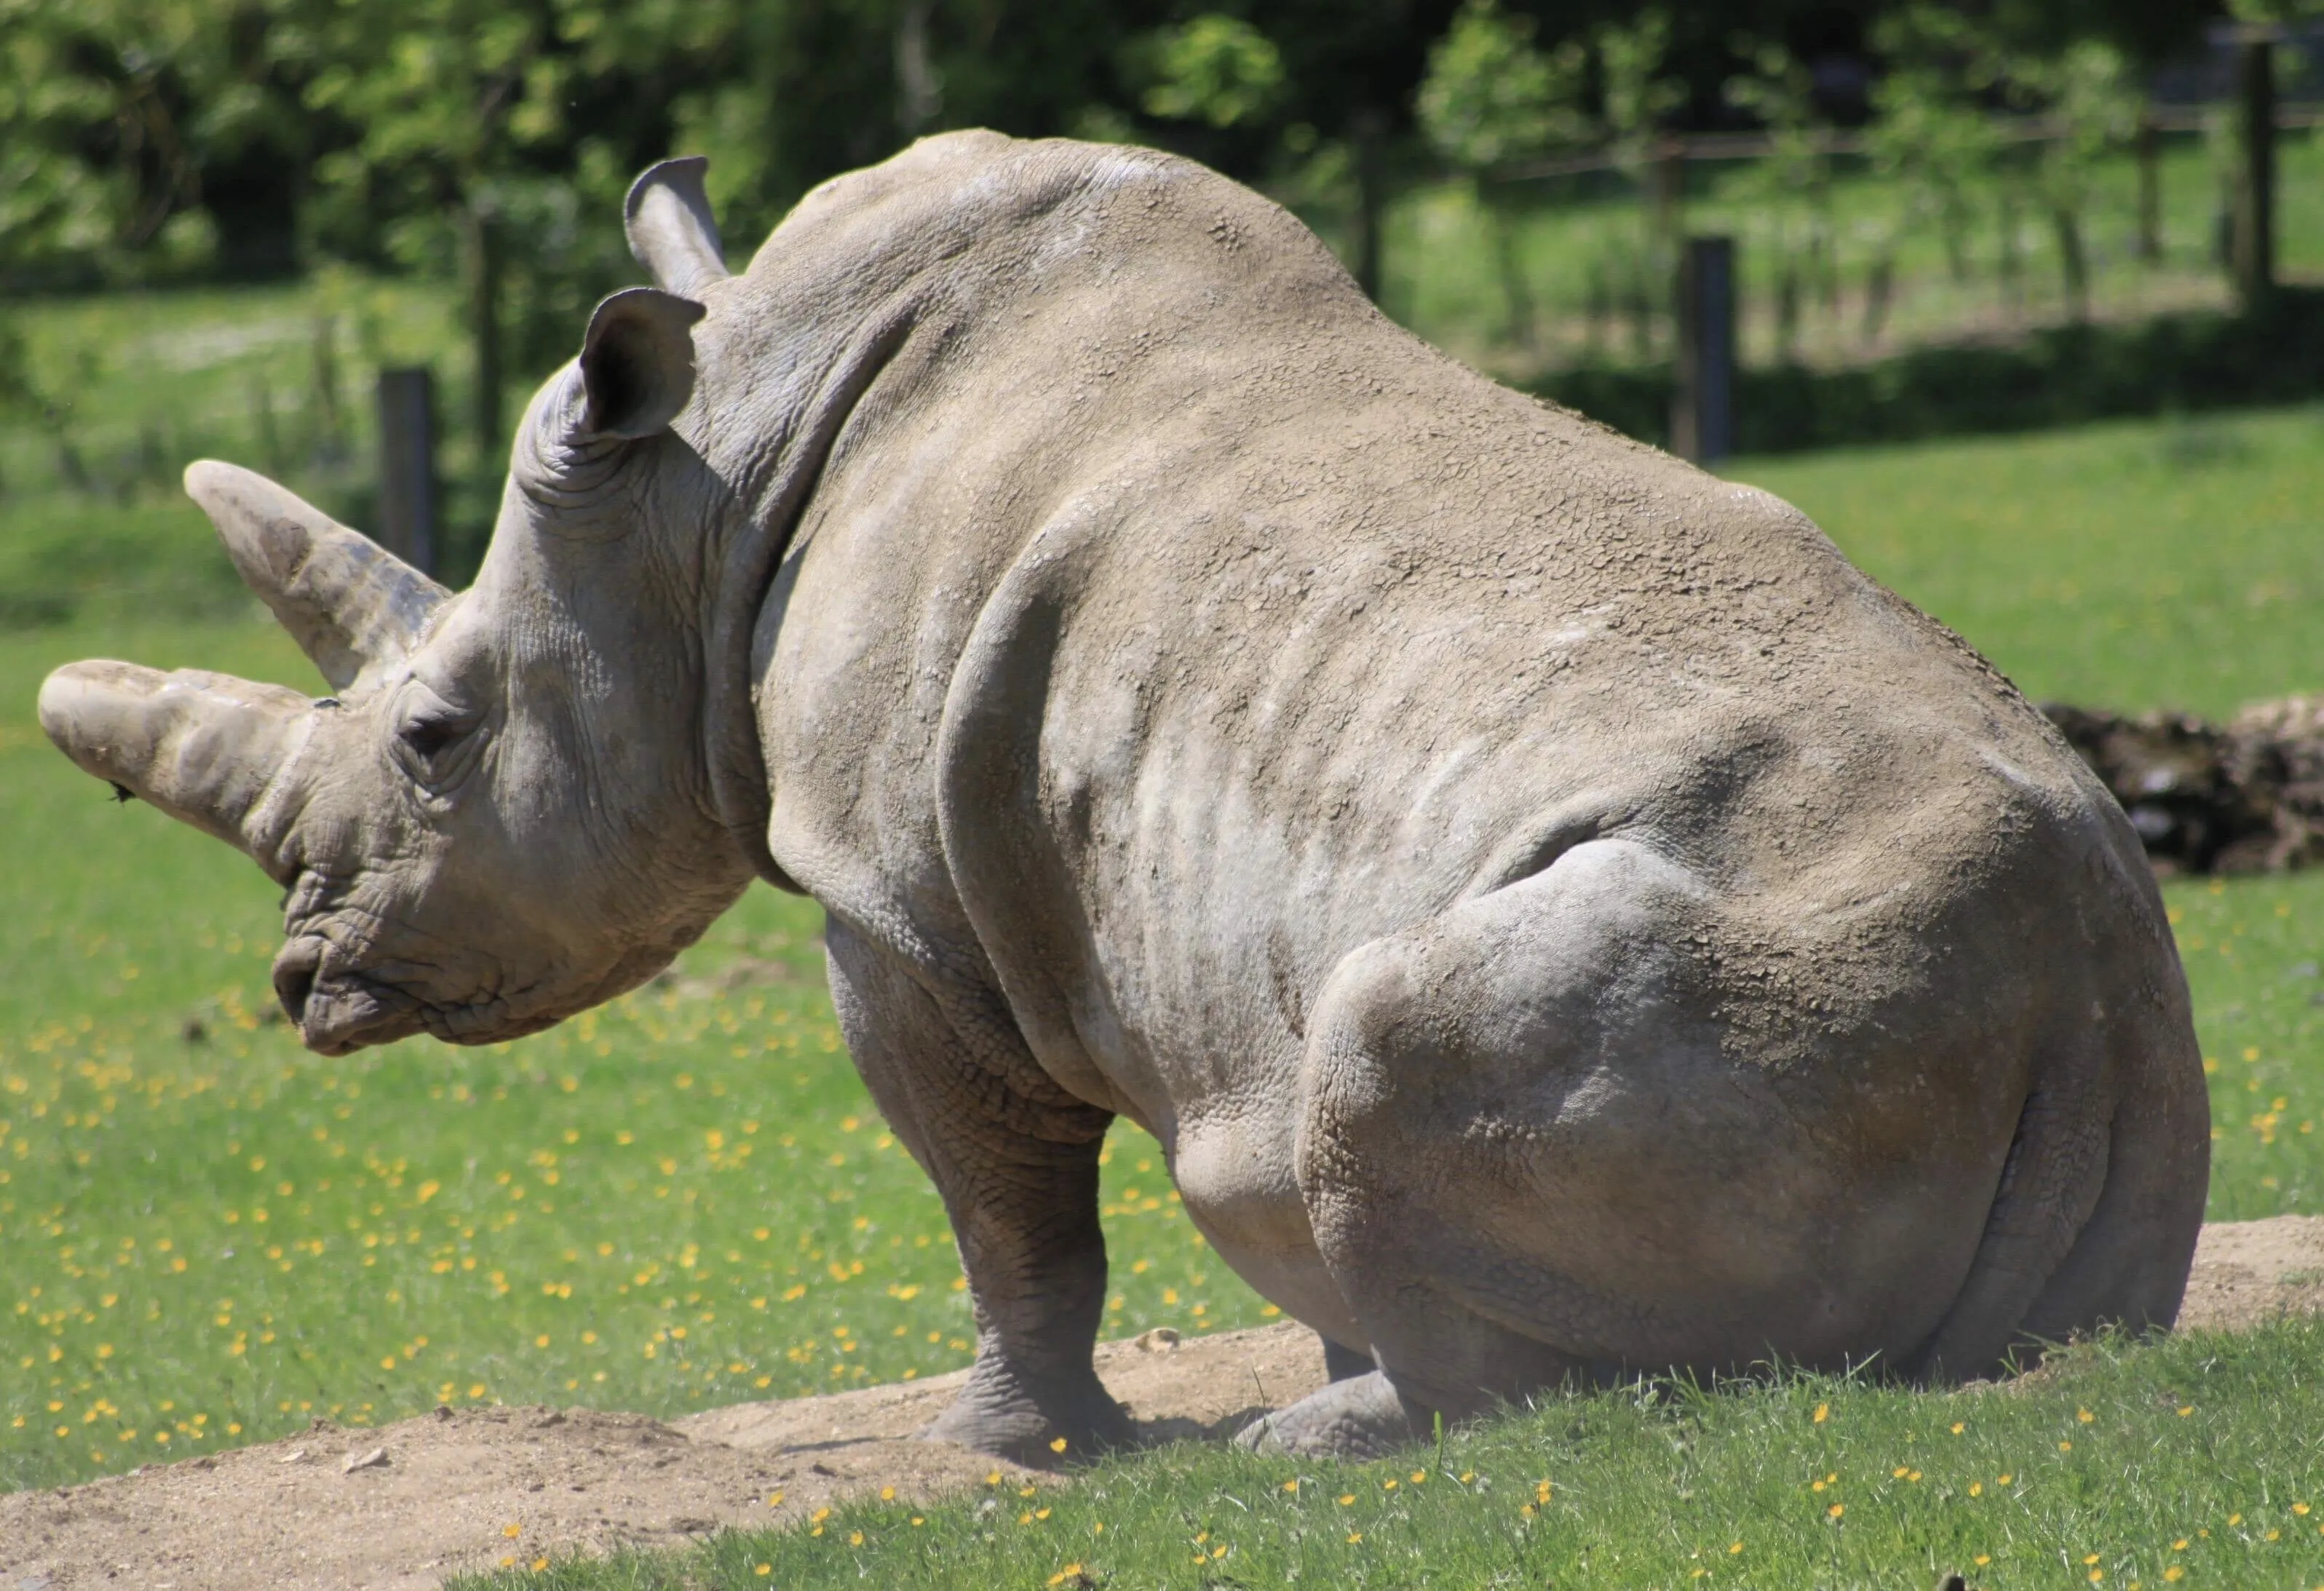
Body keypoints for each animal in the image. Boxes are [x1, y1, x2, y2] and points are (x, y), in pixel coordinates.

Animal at [40, 133, 2206, 1463]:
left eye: (435, 737)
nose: (306, 978)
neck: (708, 481)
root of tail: (2086, 986)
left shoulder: (891, 890)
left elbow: (1004, 1195)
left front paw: (1010, 1453)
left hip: (1791, 941)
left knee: (1390, 1032)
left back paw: (1323, 1445)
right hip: (2024, 977)